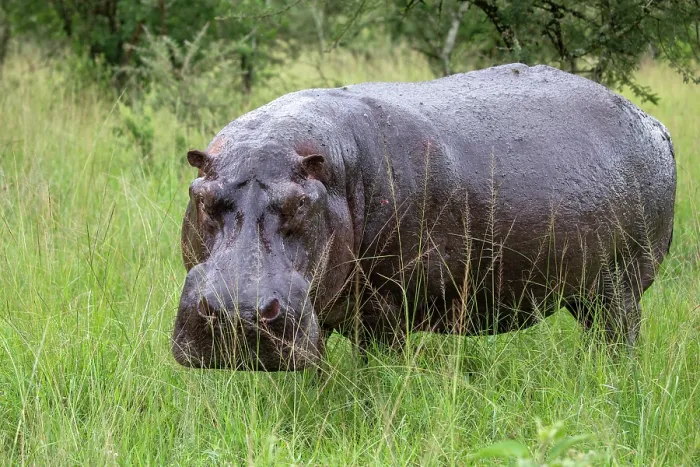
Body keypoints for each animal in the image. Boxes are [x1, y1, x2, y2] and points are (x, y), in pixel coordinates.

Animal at [172, 63, 676, 370]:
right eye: (201, 196)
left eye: (300, 203)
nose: (236, 312)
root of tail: (650, 121)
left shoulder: (383, 311)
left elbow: (376, 373)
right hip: (586, 290)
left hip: (619, 285)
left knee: (621, 339)